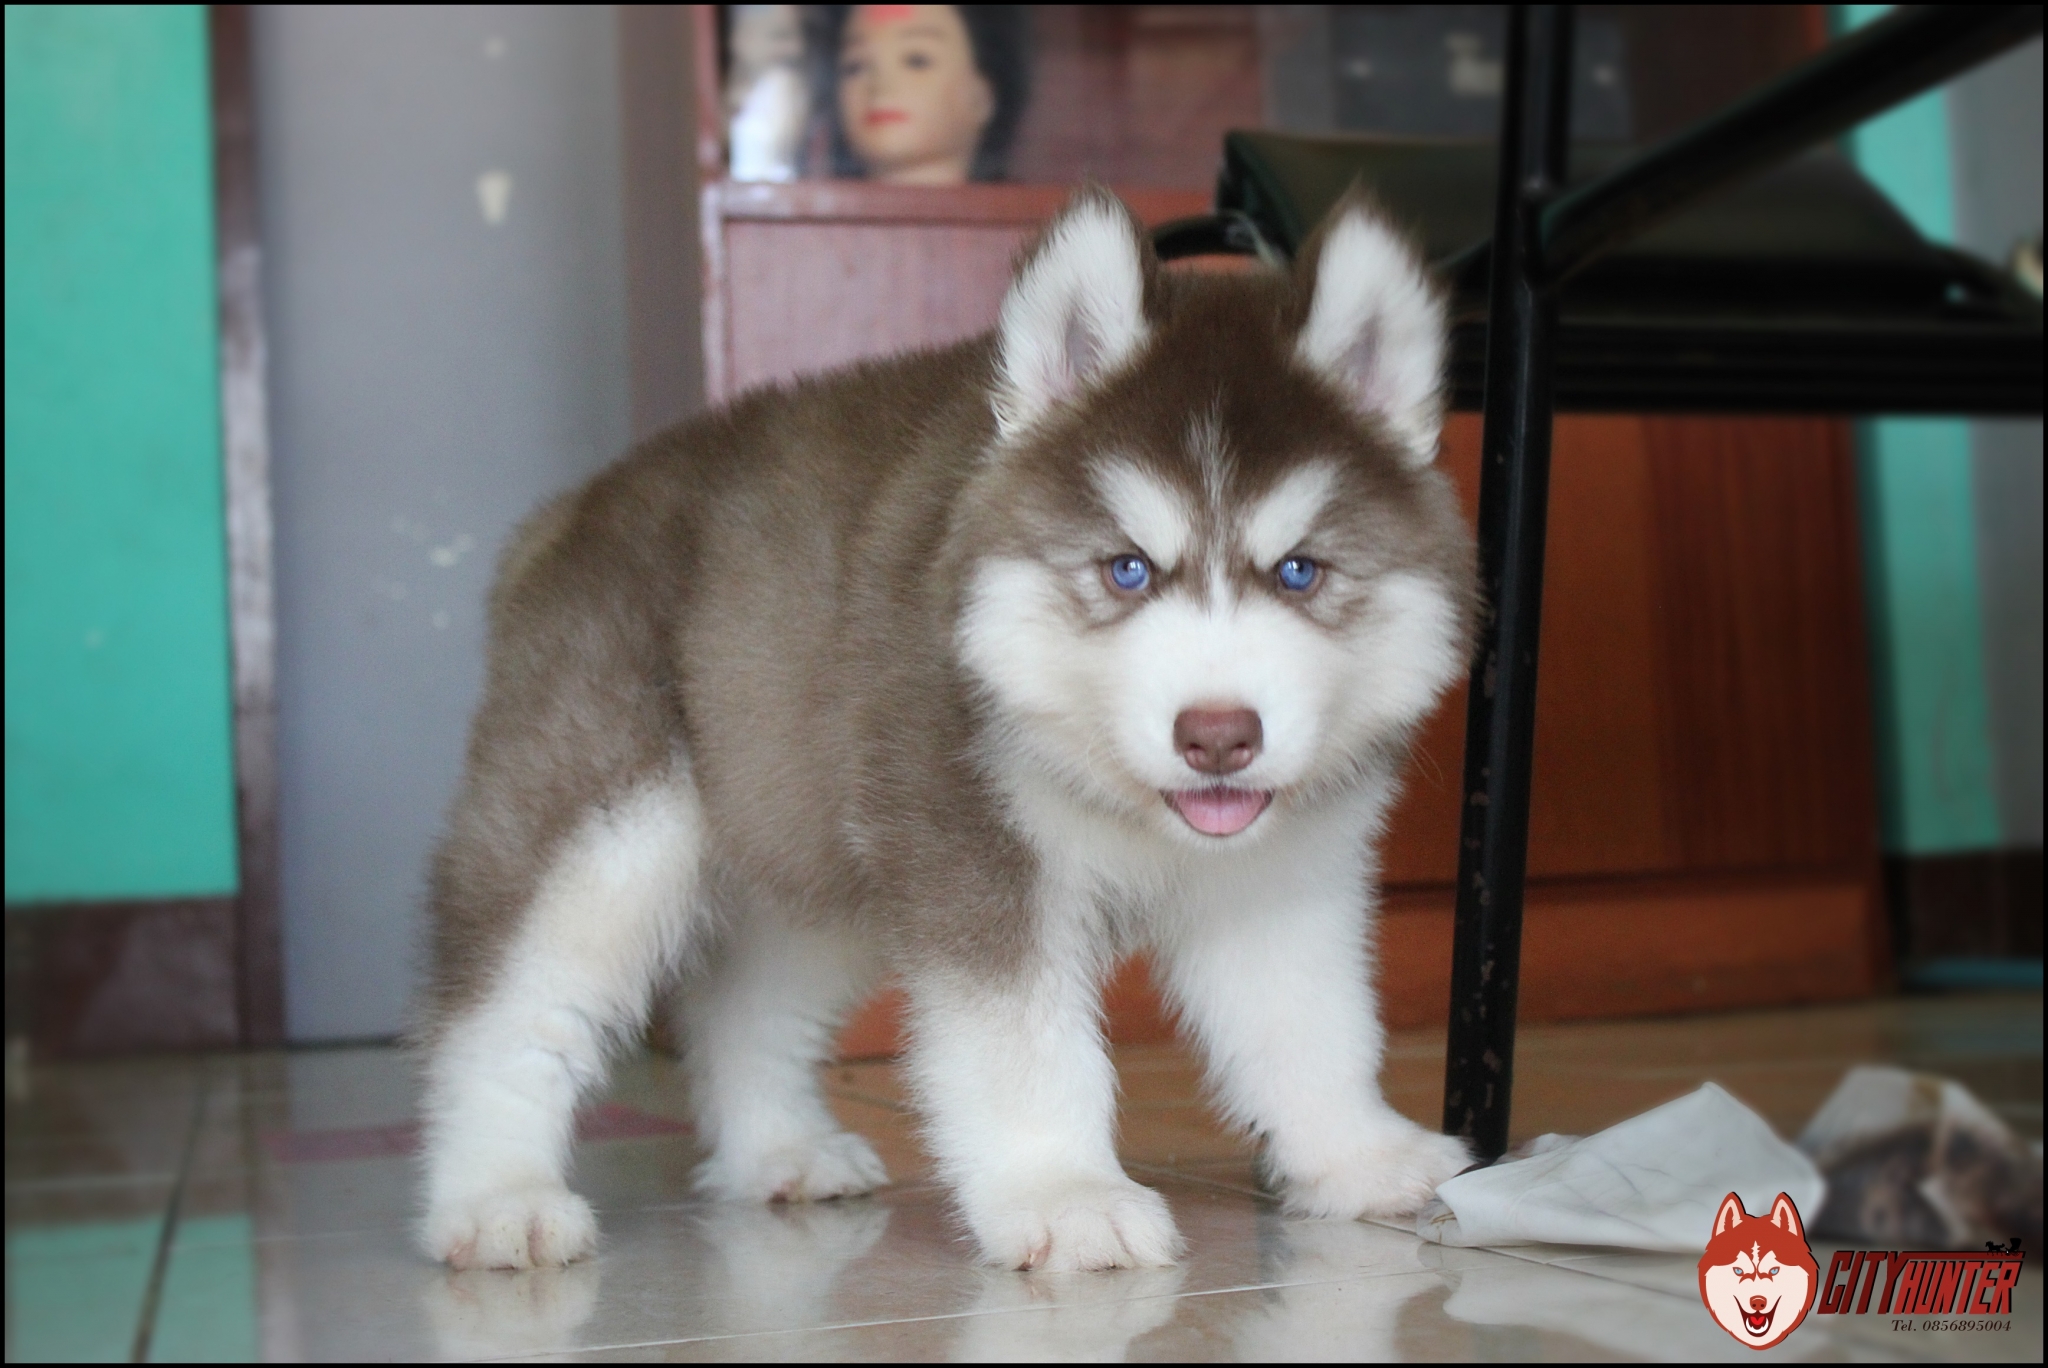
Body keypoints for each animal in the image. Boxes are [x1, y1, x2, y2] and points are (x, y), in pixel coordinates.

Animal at [416, 185, 1478, 1273]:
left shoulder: (1282, 879)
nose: (1217, 735)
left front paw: (1359, 1157)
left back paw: (779, 1151)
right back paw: (497, 1197)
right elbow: (1023, 1046)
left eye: (1299, 571)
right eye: (1126, 569)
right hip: (603, 836)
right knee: (507, 1014)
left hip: (809, 842)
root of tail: (566, 513)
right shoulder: (974, 855)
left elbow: (1310, 1024)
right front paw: (1064, 1194)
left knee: (741, 1007)